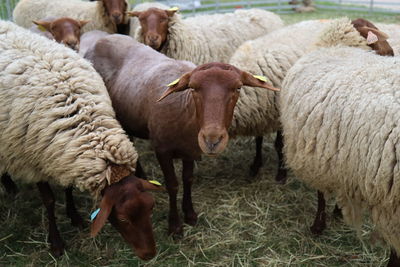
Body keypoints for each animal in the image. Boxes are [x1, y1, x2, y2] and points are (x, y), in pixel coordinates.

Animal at [0, 21, 161, 262]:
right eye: (123, 218)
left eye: (150, 208)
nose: (149, 254)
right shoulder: (31, 159)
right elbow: (49, 201)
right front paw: (56, 243)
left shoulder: (65, 153)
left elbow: (68, 189)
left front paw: (74, 216)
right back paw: (8, 185)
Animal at [82, 33, 278, 237]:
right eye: (193, 88)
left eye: (238, 88)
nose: (212, 140)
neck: (187, 114)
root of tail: (105, 37)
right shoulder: (162, 151)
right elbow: (173, 184)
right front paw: (175, 225)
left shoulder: (190, 150)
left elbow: (188, 179)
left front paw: (190, 213)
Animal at [228, 17, 394, 180]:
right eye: (374, 32)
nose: (392, 53)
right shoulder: (263, 114)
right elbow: (259, 140)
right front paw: (255, 167)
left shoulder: (280, 114)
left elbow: (279, 145)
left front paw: (281, 173)